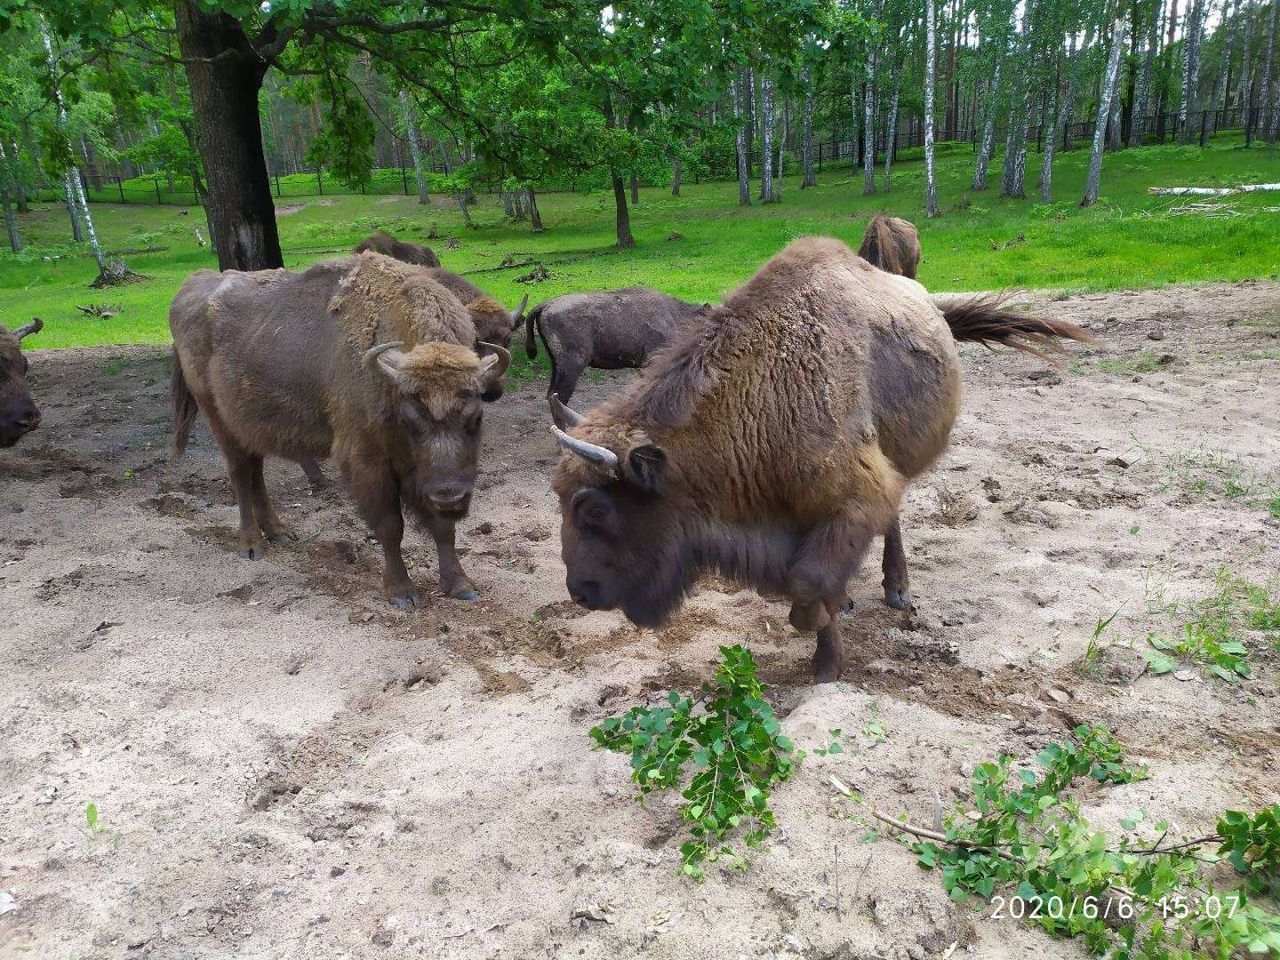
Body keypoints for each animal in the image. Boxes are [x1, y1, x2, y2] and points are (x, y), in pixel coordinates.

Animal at [170, 253, 509, 609]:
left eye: (476, 418)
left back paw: (279, 532)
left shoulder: (430, 476)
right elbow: (390, 527)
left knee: (255, 472)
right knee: (239, 473)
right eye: (411, 421)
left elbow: (444, 528)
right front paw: (401, 592)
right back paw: (251, 545)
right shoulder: (368, 462)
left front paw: (460, 585)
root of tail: (192, 284)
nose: (451, 495)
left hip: (251, 424)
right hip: (217, 417)